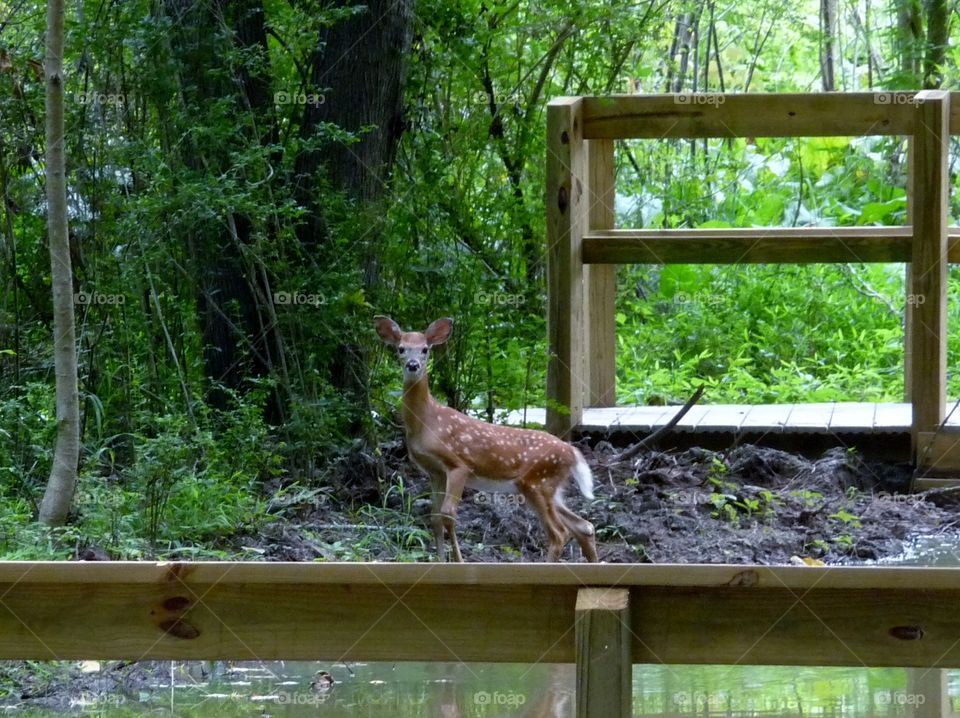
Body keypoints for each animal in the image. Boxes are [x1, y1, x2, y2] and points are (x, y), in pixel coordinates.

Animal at [374, 316, 598, 563]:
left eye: (425, 349)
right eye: (401, 348)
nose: (413, 365)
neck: (428, 422)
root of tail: (572, 452)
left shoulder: (458, 465)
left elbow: (448, 515)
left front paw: (459, 561)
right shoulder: (435, 472)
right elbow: (434, 518)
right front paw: (441, 561)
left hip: (538, 482)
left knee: (560, 533)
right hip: (549, 488)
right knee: (584, 526)